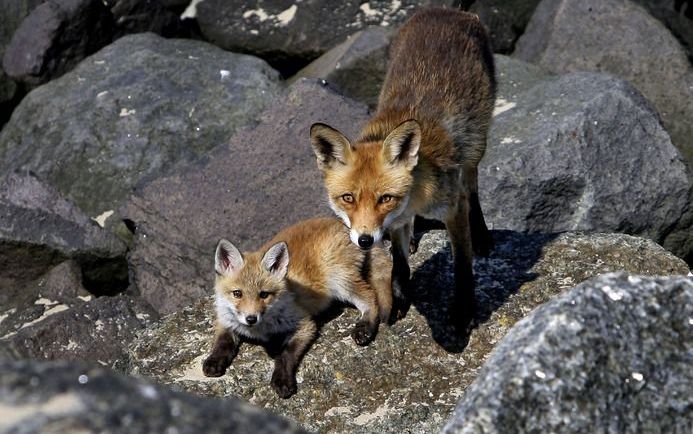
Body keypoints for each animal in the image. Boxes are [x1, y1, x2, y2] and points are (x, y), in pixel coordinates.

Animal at [310, 7, 494, 332]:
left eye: (385, 198)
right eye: (348, 198)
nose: (365, 240)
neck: (414, 199)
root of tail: (445, 10)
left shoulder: (453, 207)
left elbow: (462, 264)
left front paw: (463, 311)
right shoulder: (394, 224)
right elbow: (398, 262)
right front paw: (398, 297)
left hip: (476, 144)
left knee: (472, 186)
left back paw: (482, 235)